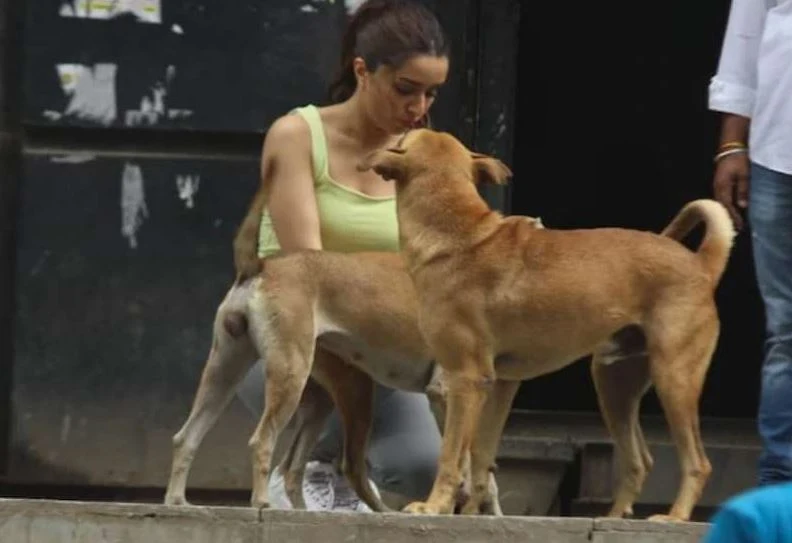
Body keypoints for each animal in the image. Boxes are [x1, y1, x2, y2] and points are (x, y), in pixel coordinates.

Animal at [358, 127, 736, 524]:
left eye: (405, 138)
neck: (458, 233)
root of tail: (701, 264)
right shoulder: (499, 384)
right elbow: (481, 457)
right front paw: (475, 513)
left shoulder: (463, 379)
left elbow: (451, 455)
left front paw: (434, 507)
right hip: (614, 383)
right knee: (639, 461)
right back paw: (613, 518)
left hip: (673, 378)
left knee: (698, 463)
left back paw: (674, 517)